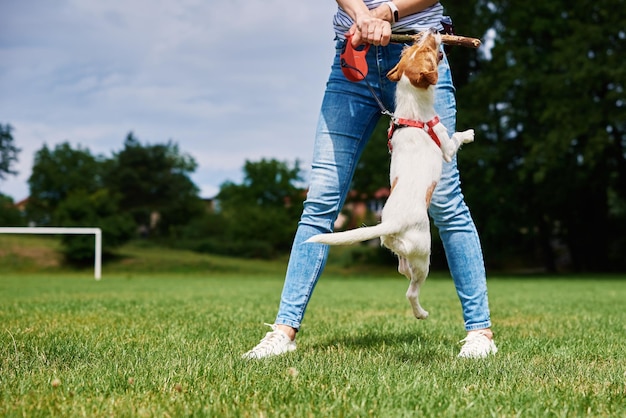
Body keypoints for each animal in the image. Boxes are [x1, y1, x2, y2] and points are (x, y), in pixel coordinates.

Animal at [308, 30, 472, 320]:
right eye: (428, 49)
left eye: (414, 48)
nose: (431, 31)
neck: (413, 113)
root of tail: (391, 224)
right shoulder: (446, 147)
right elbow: (455, 139)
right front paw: (470, 133)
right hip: (424, 254)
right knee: (412, 290)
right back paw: (421, 313)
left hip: (403, 250)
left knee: (402, 269)